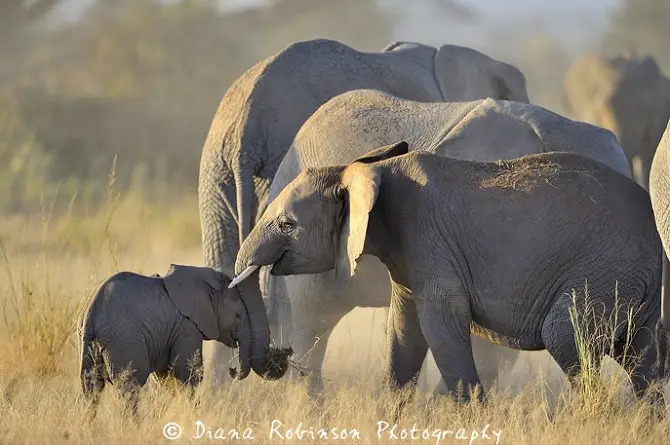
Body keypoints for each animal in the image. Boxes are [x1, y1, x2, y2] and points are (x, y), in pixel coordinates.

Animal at [77, 262, 290, 414]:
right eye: (238, 316)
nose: (285, 350)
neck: (202, 279)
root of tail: (92, 313)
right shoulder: (187, 328)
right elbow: (189, 374)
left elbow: (165, 378)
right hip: (123, 340)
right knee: (130, 386)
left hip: (89, 342)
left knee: (91, 387)